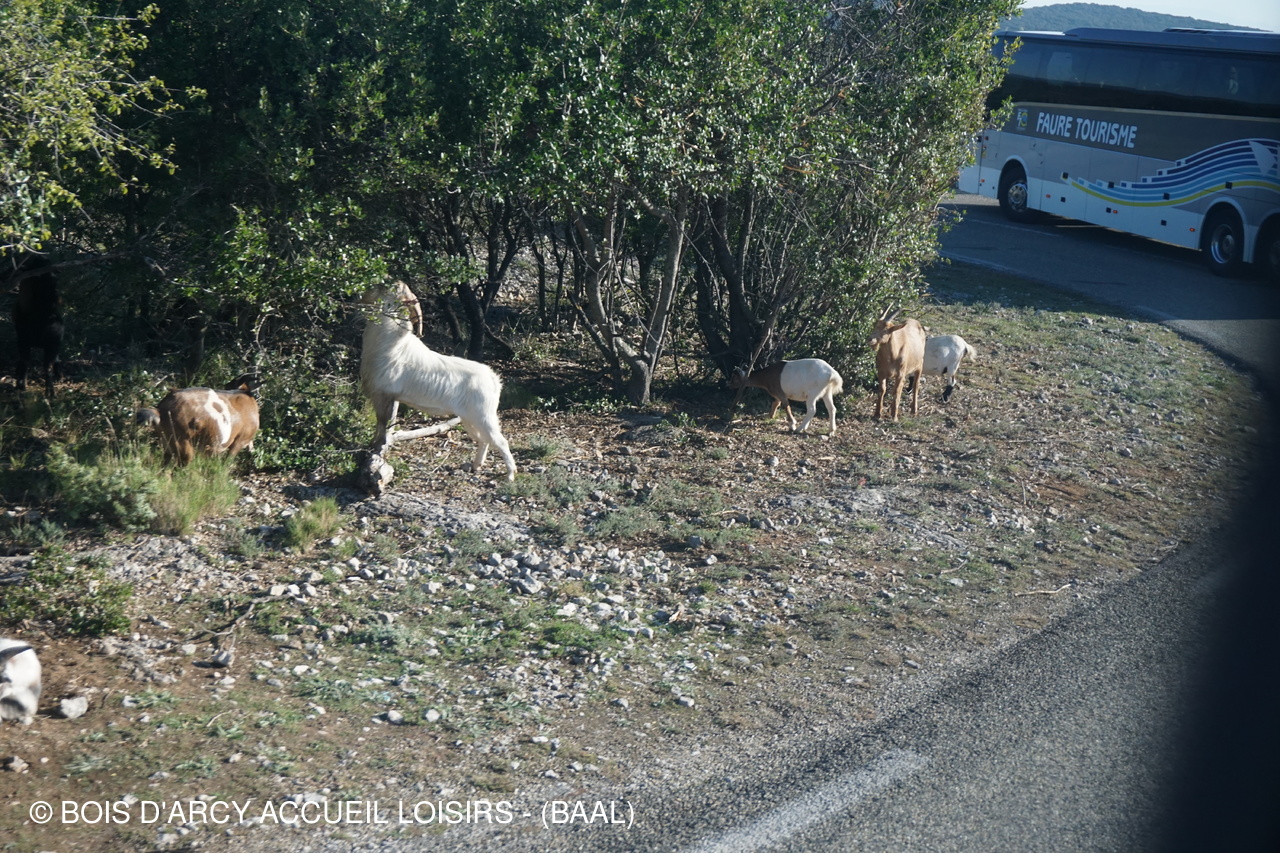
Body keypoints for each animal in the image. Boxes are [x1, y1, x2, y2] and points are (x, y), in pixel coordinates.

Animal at [360, 280, 515, 481]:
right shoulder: (389, 398)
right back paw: (476, 465)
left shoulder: (382, 395)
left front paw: (374, 447)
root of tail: (493, 378)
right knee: (484, 440)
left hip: (484, 416)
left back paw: (510, 475)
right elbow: (385, 425)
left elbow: (382, 424)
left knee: (500, 441)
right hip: (469, 418)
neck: (392, 346)